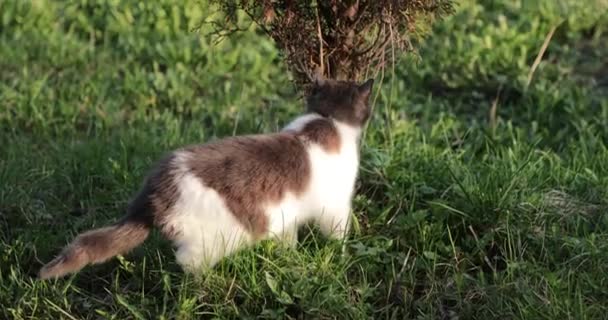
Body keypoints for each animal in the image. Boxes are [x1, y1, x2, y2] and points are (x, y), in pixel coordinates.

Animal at [39, 74, 376, 278]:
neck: (328, 120)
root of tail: (154, 191)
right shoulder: (335, 206)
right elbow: (339, 232)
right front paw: (341, 252)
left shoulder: (286, 216)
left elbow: (287, 238)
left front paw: (289, 256)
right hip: (220, 235)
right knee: (189, 262)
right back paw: (209, 281)